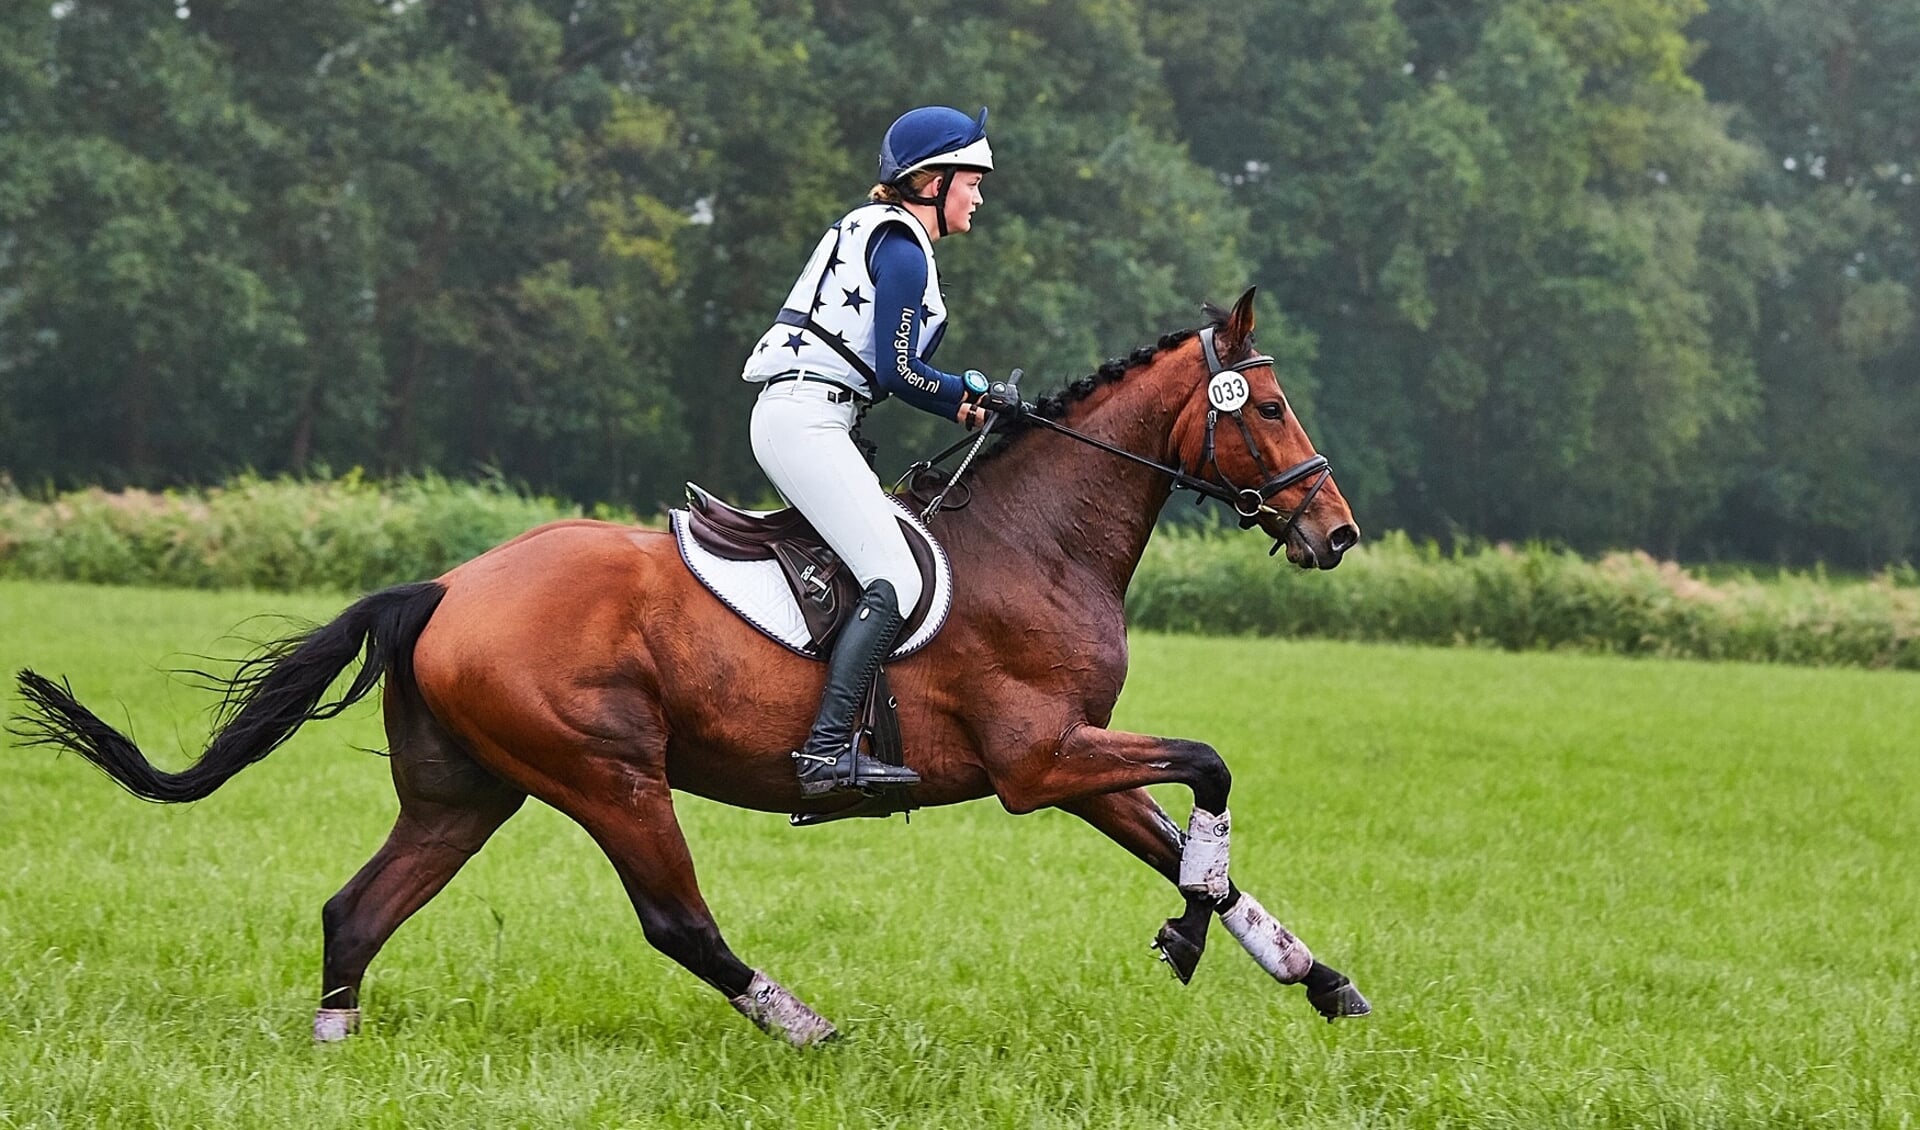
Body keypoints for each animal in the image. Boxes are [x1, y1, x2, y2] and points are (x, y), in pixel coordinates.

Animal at [15, 285, 1367, 1043]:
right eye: (1269, 407)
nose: (1337, 531)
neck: (1041, 540)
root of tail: (448, 583)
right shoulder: (1039, 761)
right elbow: (1211, 768)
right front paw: (1191, 929)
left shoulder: (1075, 759)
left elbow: (1199, 842)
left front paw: (1312, 976)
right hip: (610, 774)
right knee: (677, 920)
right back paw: (807, 1025)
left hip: (466, 789)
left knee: (359, 907)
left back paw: (333, 1043)